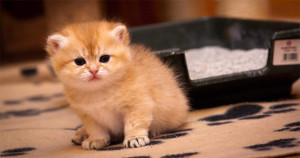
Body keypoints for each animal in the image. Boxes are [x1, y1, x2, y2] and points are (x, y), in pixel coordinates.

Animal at [45, 21, 189, 151]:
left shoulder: (137, 105)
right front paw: (96, 139)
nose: (93, 70)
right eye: (79, 61)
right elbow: (95, 129)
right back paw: (82, 133)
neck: (99, 91)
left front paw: (134, 138)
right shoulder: (88, 115)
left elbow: (133, 124)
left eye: (104, 58)